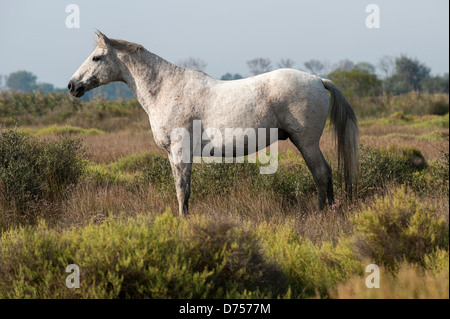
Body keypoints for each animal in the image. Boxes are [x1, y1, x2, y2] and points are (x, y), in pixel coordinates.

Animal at [68, 31, 358, 216]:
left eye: (96, 57)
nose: (72, 85)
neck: (166, 89)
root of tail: (317, 79)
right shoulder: (174, 155)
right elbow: (182, 189)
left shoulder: (180, 153)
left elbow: (182, 190)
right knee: (324, 173)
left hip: (306, 142)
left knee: (321, 173)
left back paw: (322, 213)